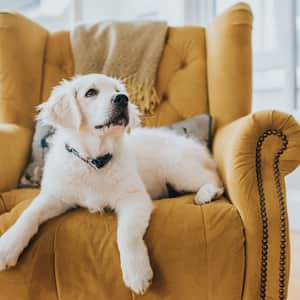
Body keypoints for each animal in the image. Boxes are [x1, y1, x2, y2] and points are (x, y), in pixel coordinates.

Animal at [0, 74, 223, 294]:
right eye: (90, 92)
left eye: (117, 91)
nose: (123, 99)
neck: (94, 162)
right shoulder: (55, 195)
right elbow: (28, 214)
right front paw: (8, 245)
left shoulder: (135, 198)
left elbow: (126, 234)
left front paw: (136, 272)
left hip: (177, 168)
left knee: (213, 177)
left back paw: (207, 193)